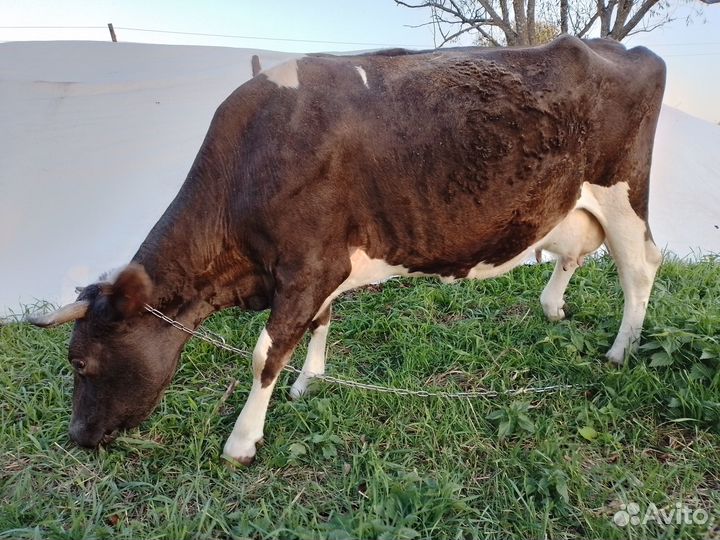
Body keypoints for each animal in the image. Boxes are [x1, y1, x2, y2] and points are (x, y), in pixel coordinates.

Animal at [28, 35, 666, 465]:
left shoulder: (306, 264)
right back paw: (552, 307)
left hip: (623, 193)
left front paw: (242, 440)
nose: (77, 437)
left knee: (640, 267)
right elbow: (321, 320)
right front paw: (309, 382)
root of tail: (622, 47)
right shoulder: (322, 262)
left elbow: (265, 353)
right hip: (575, 203)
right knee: (574, 252)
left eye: (79, 363)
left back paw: (620, 350)